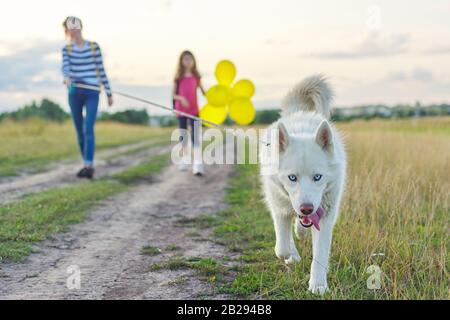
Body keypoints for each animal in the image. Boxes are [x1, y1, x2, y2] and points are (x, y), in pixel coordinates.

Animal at [258, 75, 346, 296]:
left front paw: (318, 285)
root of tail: (298, 112)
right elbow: (281, 248)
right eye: (292, 178)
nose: (306, 208)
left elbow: (320, 255)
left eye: (317, 177)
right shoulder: (279, 208)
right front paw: (291, 254)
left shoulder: (325, 215)